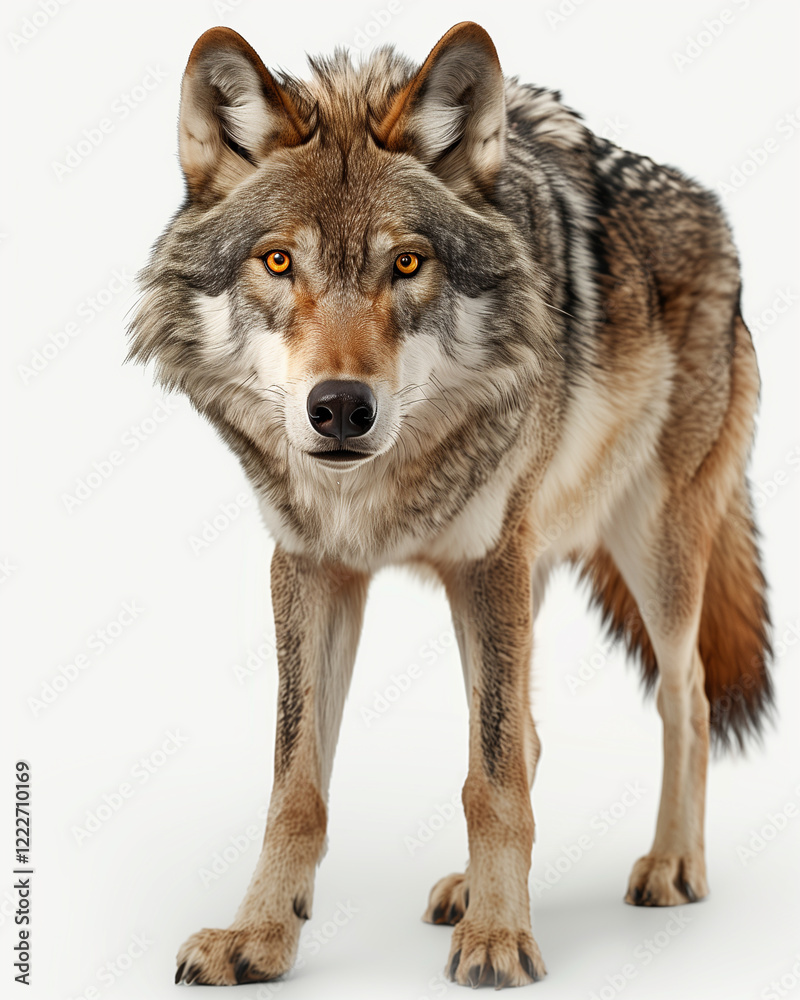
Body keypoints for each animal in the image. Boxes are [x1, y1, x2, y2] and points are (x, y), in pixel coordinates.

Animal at [129, 21, 773, 988]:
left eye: (407, 263)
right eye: (278, 261)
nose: (341, 407)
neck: (373, 496)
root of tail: (717, 213)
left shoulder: (487, 560)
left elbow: (491, 780)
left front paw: (502, 938)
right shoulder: (311, 568)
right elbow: (297, 785)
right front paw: (260, 934)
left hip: (649, 546)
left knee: (681, 696)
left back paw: (671, 864)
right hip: (533, 571)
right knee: (527, 733)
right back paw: (472, 892)